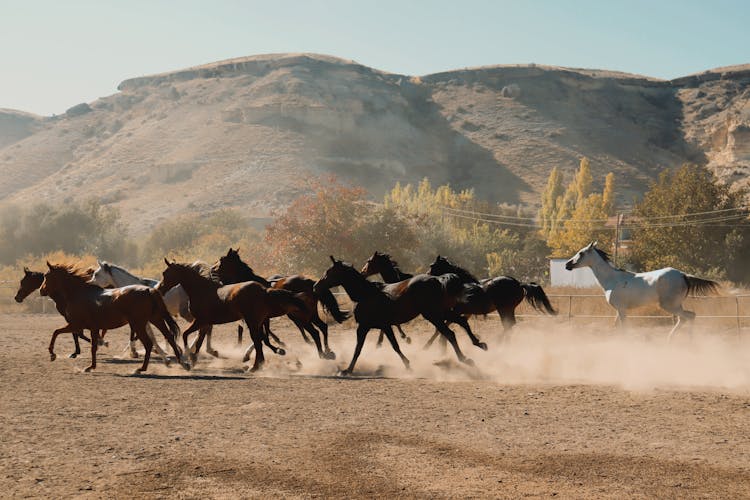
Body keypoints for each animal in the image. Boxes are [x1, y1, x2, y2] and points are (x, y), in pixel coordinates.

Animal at [39, 264, 187, 374]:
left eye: (46, 276)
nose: (41, 290)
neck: (79, 293)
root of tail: (148, 290)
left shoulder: (76, 324)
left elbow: (56, 332)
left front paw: (52, 354)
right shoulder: (93, 328)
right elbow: (93, 346)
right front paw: (91, 366)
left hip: (139, 324)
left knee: (149, 343)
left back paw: (142, 368)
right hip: (156, 319)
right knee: (169, 336)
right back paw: (182, 363)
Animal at [157, 258, 310, 372]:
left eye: (165, 273)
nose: (159, 289)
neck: (202, 290)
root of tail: (264, 290)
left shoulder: (200, 321)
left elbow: (185, 335)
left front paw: (189, 358)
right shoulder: (204, 323)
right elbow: (198, 340)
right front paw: (193, 359)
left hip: (252, 322)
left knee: (258, 341)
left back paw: (255, 366)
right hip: (257, 321)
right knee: (261, 340)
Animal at [314, 256, 478, 374]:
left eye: (329, 272)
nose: (316, 286)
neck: (366, 294)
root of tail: (437, 279)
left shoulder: (364, 326)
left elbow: (359, 348)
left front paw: (347, 370)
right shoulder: (384, 326)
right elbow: (394, 345)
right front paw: (408, 364)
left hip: (433, 315)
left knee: (449, 333)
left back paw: (465, 358)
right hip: (442, 312)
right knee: (461, 323)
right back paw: (478, 344)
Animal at [564, 241, 724, 342]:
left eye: (581, 253)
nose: (567, 265)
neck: (612, 280)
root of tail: (684, 275)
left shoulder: (622, 309)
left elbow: (624, 329)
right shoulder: (619, 310)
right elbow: (616, 327)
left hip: (669, 305)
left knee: (690, 316)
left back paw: (688, 341)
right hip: (676, 305)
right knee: (685, 318)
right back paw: (671, 339)